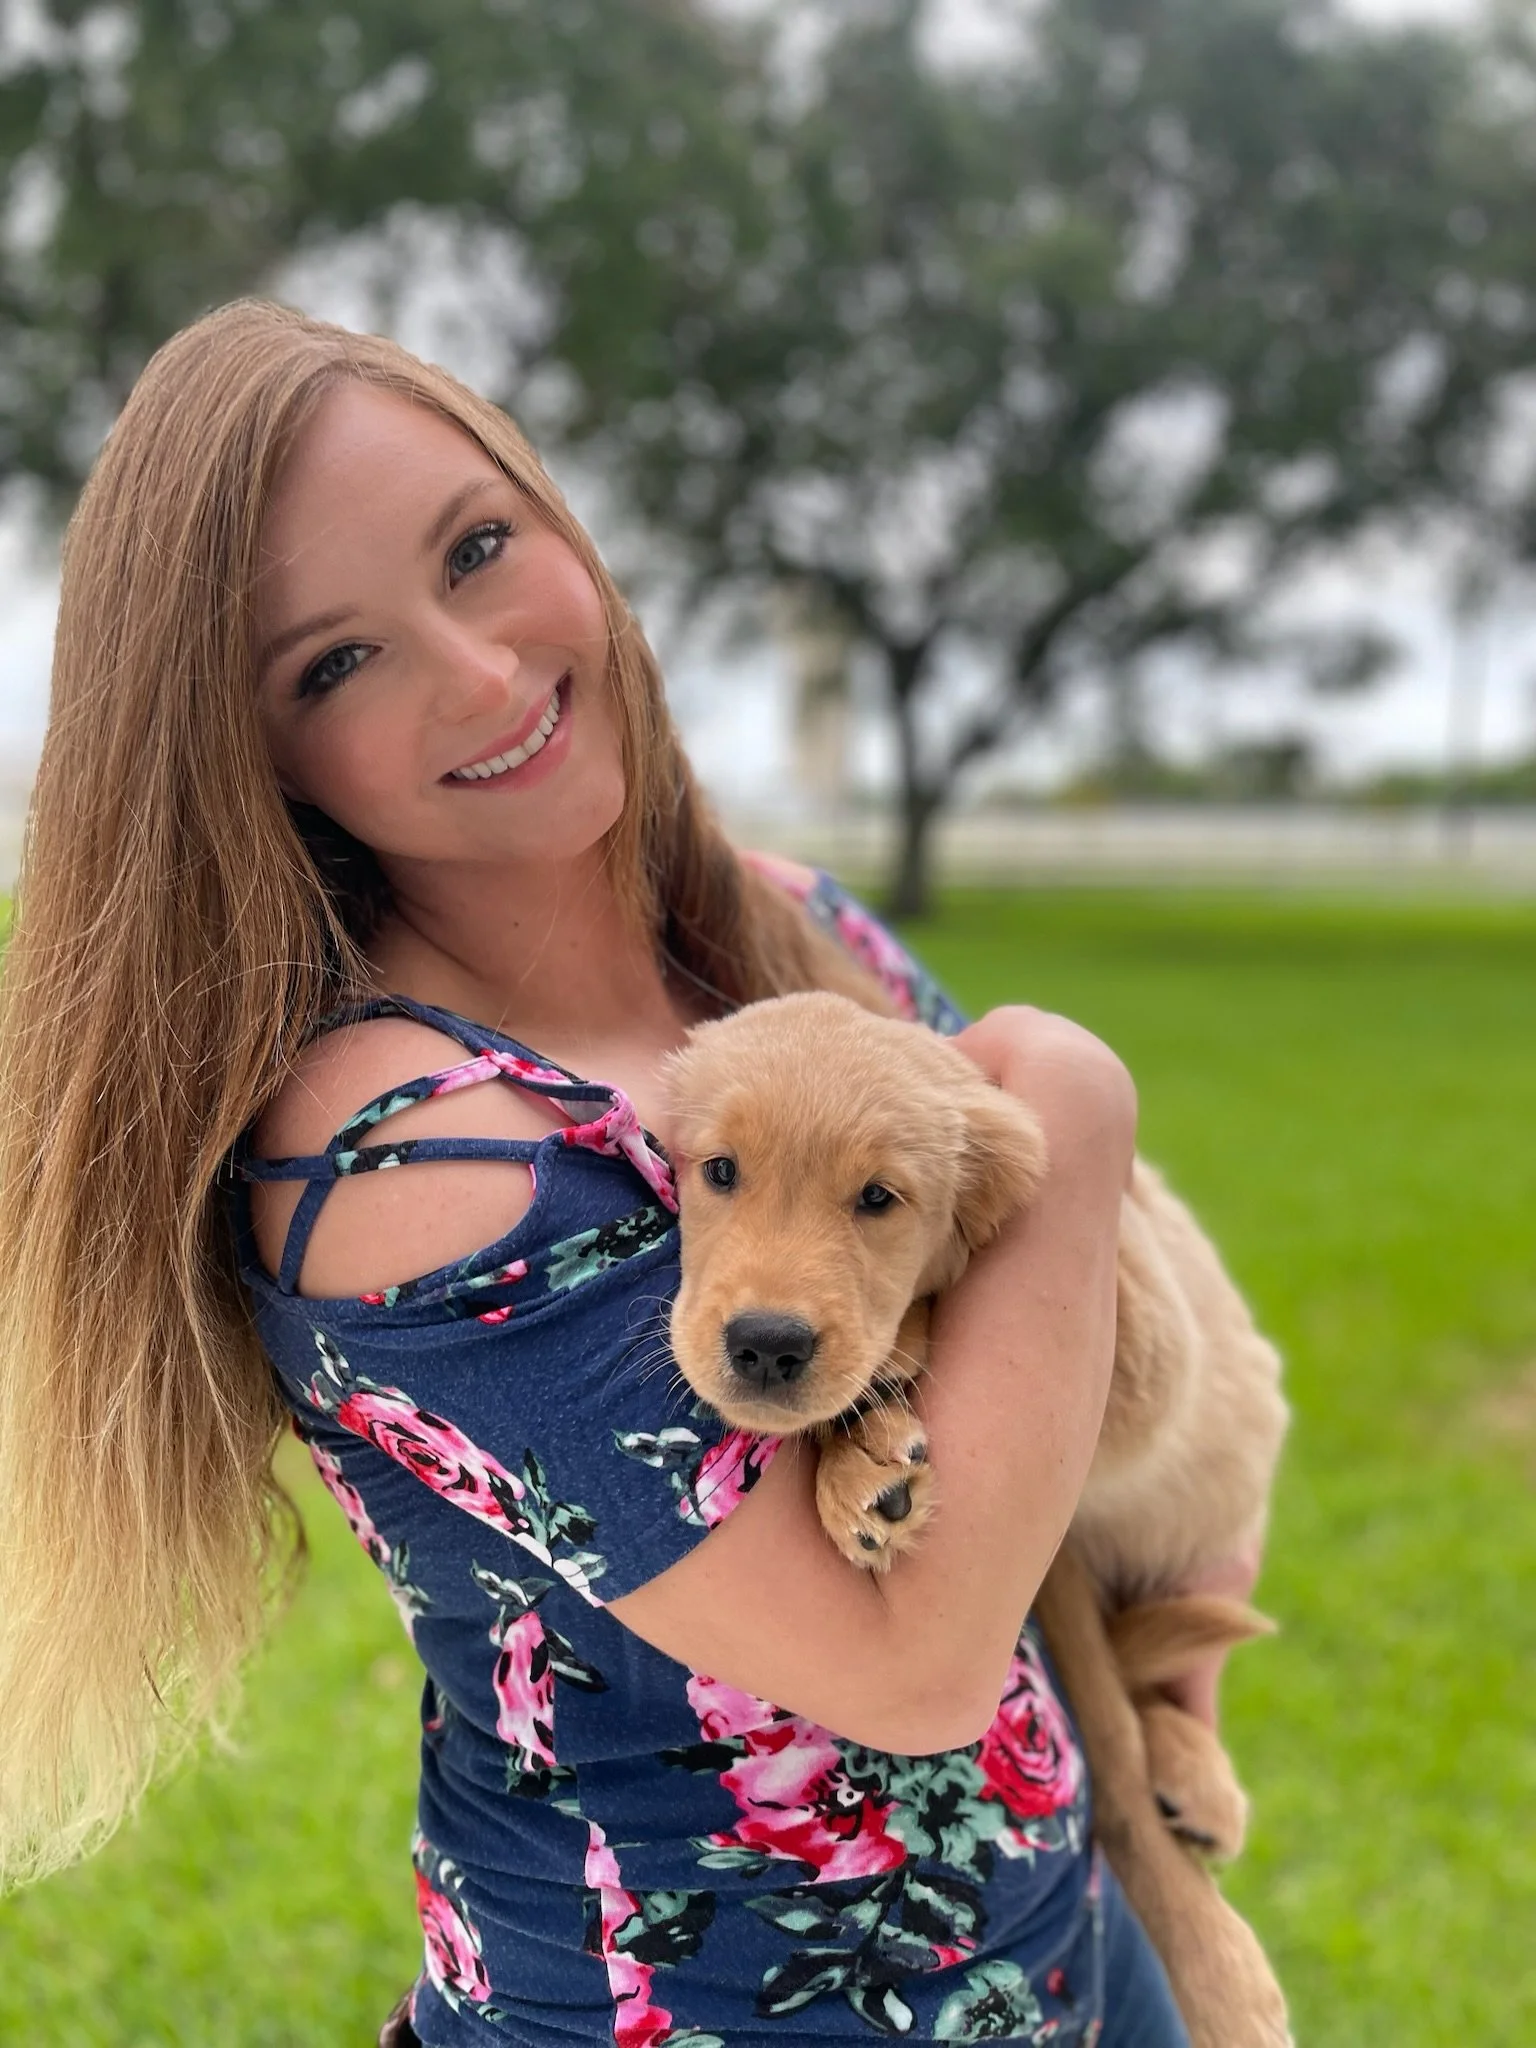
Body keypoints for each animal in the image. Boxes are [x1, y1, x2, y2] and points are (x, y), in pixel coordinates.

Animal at [663, 991, 1292, 2046]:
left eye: (879, 1199)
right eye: (718, 1171)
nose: (765, 1345)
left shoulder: (1143, 1337)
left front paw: (876, 1409)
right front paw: (862, 1461)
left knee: (1127, 1734)